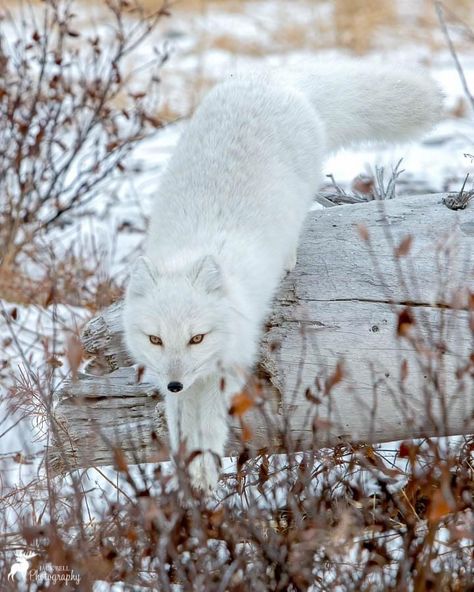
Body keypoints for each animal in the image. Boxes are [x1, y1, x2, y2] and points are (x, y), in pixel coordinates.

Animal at [121, 62, 440, 492]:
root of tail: (276, 79)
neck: (193, 250)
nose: (173, 383)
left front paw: (205, 469)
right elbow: (180, 421)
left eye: (196, 338)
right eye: (155, 339)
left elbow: (209, 420)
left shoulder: (229, 364)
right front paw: (189, 465)